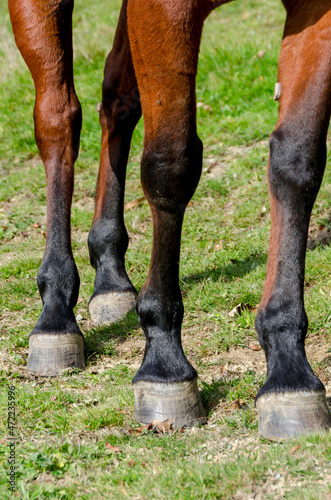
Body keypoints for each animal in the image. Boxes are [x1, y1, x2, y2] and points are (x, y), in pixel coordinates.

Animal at [7, 0, 331, 440]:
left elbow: (297, 162)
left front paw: (289, 368)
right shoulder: (164, 10)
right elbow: (171, 164)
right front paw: (164, 363)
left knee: (118, 97)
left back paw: (110, 273)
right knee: (58, 118)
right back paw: (55, 311)